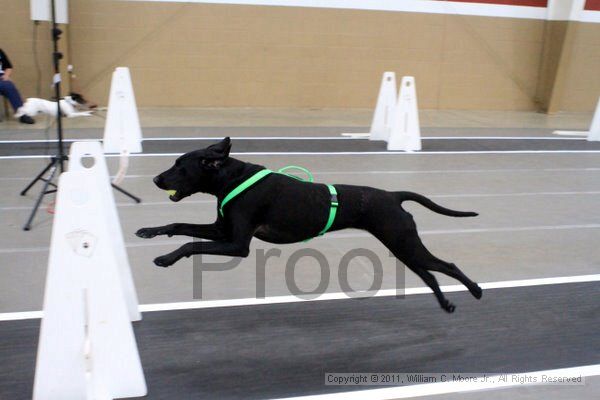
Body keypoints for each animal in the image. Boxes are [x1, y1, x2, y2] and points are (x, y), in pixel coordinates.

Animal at [136, 138, 482, 312]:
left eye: (180, 166)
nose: (155, 179)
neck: (230, 178)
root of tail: (393, 196)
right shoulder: (222, 230)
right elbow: (180, 225)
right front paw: (150, 232)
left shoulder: (237, 244)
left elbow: (190, 243)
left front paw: (165, 258)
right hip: (402, 247)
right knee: (429, 273)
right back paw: (446, 303)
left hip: (404, 242)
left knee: (446, 265)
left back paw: (475, 290)